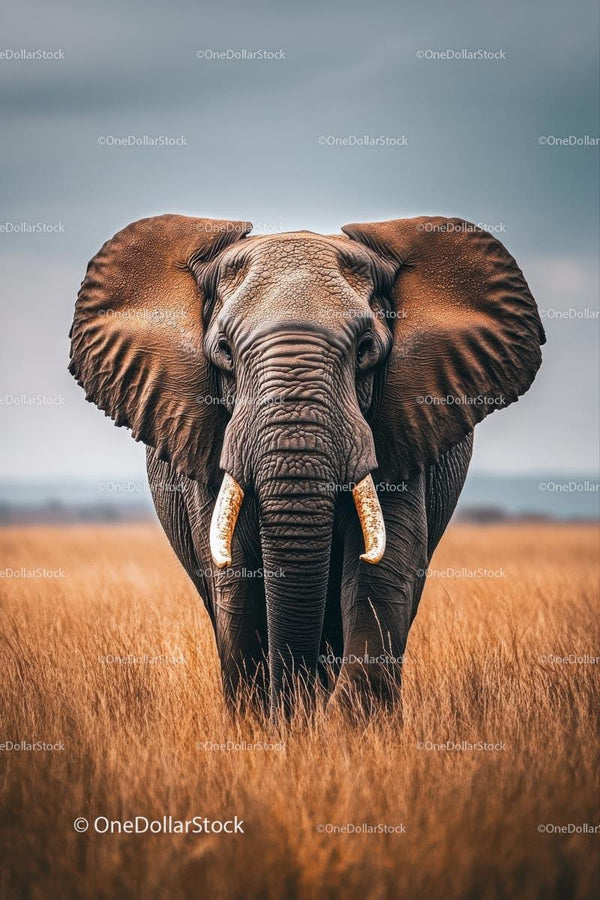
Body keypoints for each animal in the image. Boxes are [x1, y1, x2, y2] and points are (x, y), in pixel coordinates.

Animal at [69, 214, 544, 717]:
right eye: (224, 350)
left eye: (365, 348)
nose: (291, 706)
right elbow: (235, 579)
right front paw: (263, 723)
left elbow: (381, 572)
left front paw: (351, 725)